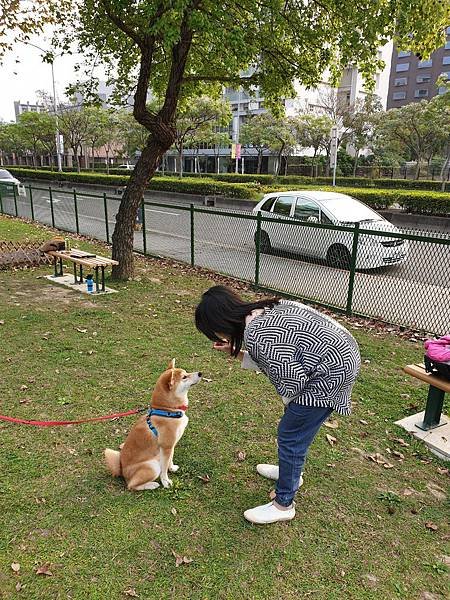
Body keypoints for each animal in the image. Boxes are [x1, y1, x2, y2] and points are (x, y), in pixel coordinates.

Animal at [103, 358, 202, 490]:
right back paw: (152, 484)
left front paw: (172, 467)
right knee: (131, 485)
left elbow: (170, 459)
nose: (200, 373)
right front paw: (166, 482)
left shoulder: (170, 446)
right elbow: (164, 469)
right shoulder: (166, 446)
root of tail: (122, 471)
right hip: (152, 465)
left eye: (186, 372)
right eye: (184, 377)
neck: (167, 410)